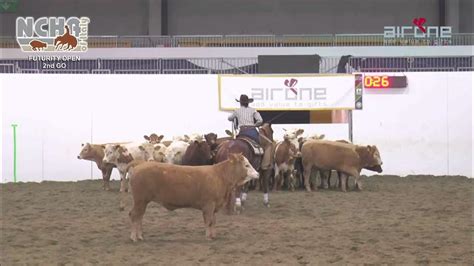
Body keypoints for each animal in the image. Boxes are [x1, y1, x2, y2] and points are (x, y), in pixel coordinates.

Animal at [127, 153, 260, 242]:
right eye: (246, 165)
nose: (258, 174)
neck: (220, 176)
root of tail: (141, 164)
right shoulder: (209, 205)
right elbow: (209, 221)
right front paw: (208, 237)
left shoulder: (214, 206)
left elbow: (214, 221)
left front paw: (213, 235)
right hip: (140, 200)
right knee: (134, 215)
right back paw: (134, 237)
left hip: (142, 202)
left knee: (139, 217)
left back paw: (140, 236)